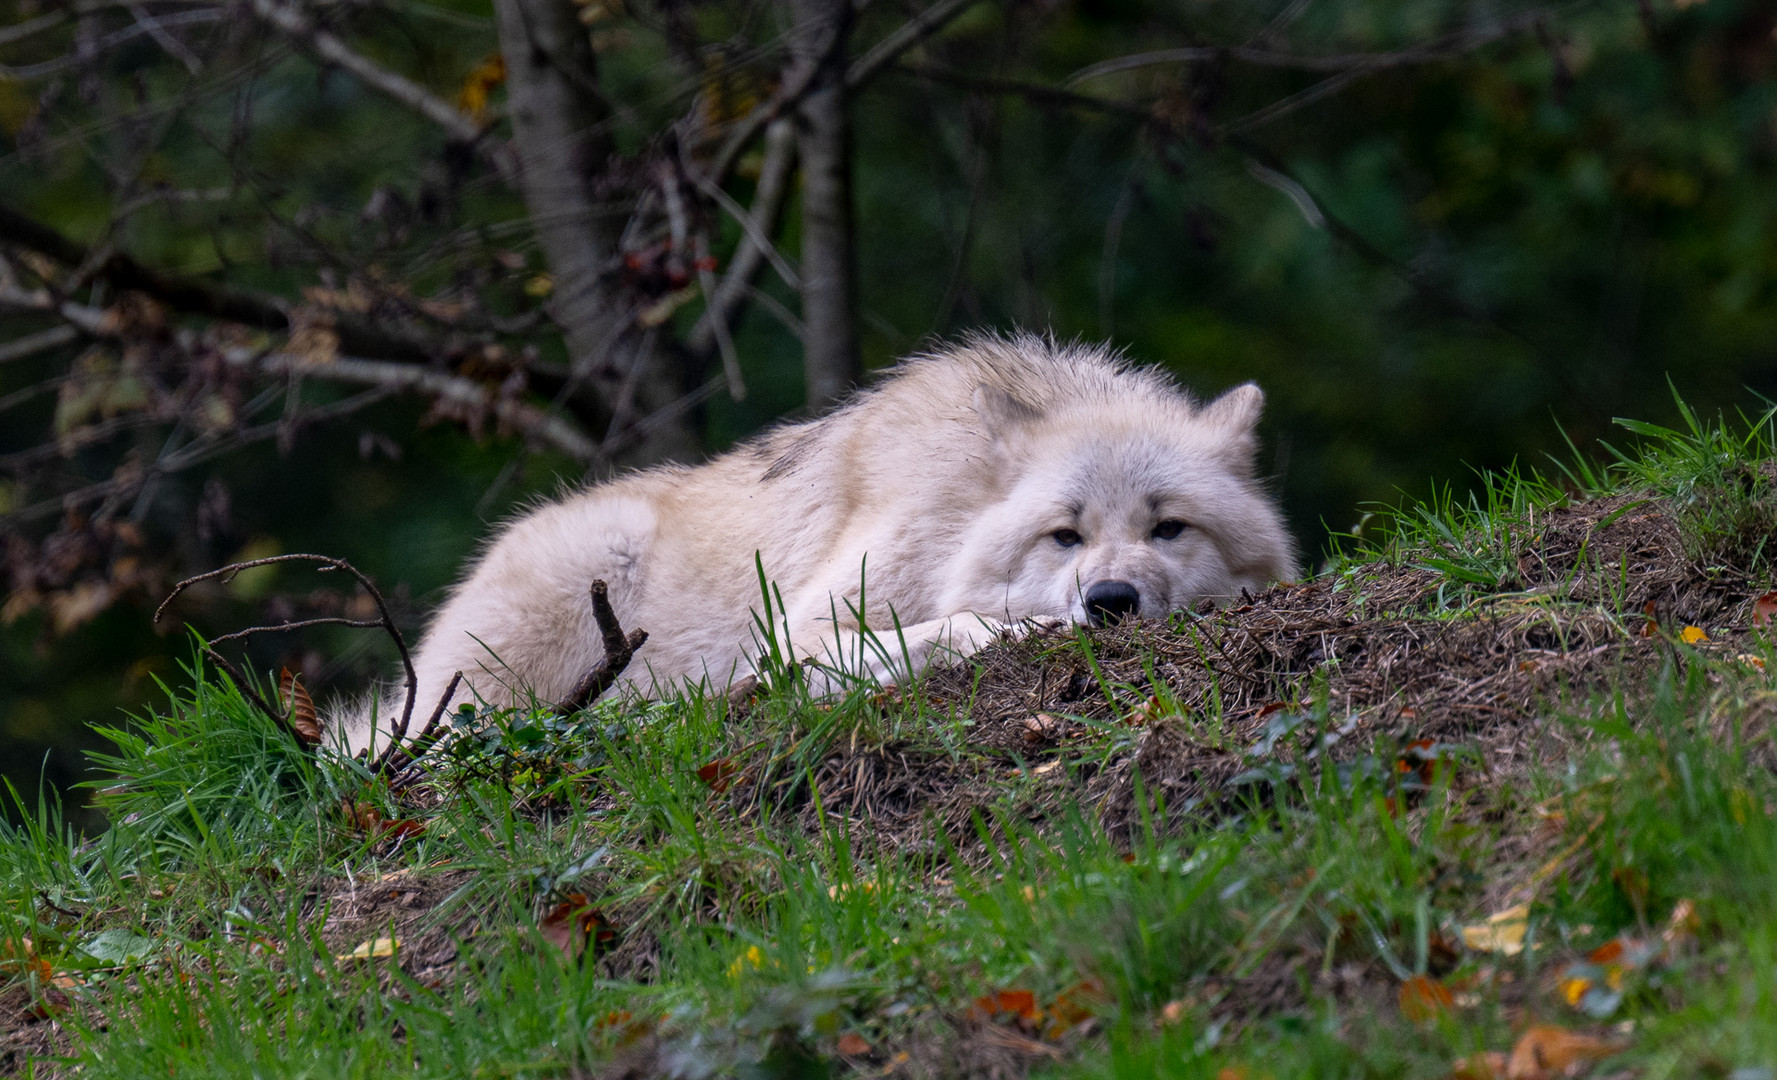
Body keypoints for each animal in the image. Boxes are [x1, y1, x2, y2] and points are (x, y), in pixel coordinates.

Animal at [346, 335, 1293, 749]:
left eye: (1167, 528)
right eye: (1066, 536)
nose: (1110, 601)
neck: (954, 511)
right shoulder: (793, 635)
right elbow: (940, 630)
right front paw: (1014, 627)